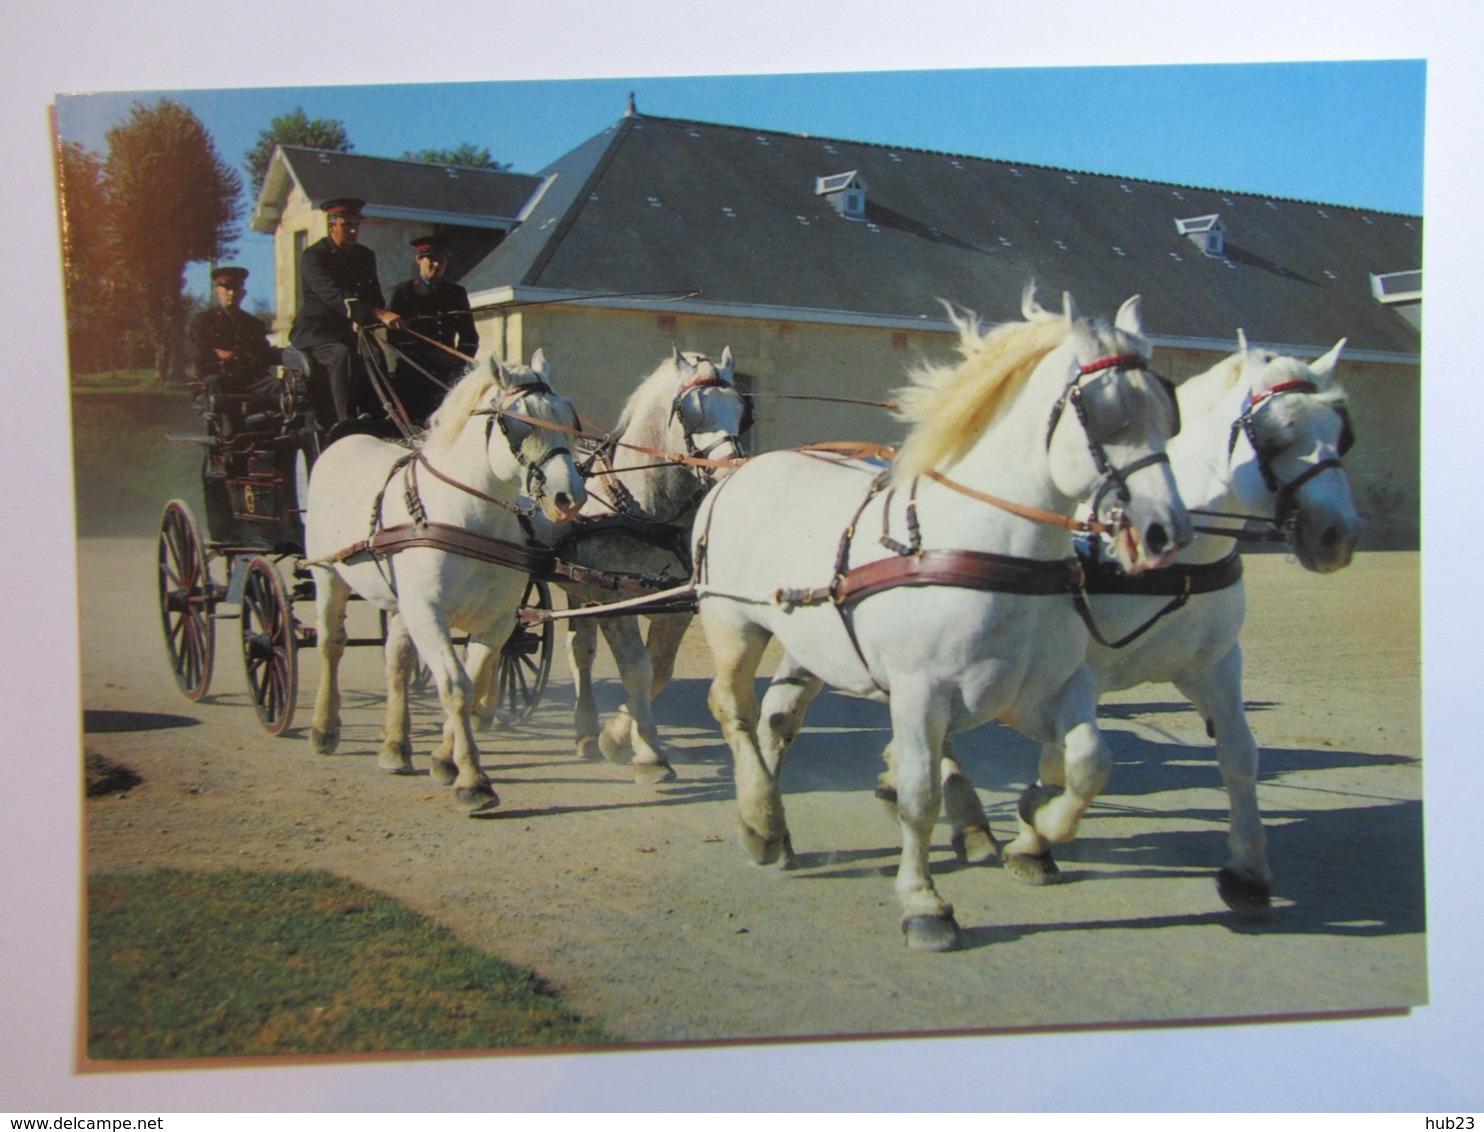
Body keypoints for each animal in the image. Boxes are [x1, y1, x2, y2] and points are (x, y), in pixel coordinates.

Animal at [305, 350, 584, 813]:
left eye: (568, 417)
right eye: (518, 422)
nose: (570, 497)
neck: (467, 518)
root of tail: (342, 442)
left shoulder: (497, 621)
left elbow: (474, 680)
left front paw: (443, 758)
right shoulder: (430, 614)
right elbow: (455, 687)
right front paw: (473, 780)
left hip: (403, 606)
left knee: (397, 662)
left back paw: (395, 746)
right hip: (328, 575)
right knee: (330, 645)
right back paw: (324, 728)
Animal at [525, 345, 753, 783]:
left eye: (741, 410)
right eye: (690, 412)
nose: (729, 477)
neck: (649, 511)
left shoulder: (674, 606)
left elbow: (659, 670)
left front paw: (615, 737)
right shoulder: (617, 602)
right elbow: (637, 669)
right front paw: (649, 754)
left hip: (581, 588)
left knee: (580, 649)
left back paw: (586, 731)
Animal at [694, 292, 1193, 949]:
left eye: (1168, 413)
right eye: (1102, 416)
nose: (1167, 532)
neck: (992, 551)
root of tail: (736, 475)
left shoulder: (1044, 689)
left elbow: (1089, 761)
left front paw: (1038, 822)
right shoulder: (921, 692)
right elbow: (919, 794)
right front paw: (924, 903)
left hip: (812, 643)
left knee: (779, 717)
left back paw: (775, 826)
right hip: (732, 625)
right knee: (734, 710)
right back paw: (758, 820)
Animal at [872, 332, 1359, 913]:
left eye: (1342, 434)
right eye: (1275, 435)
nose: (1336, 536)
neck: (1174, 567)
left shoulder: (1216, 666)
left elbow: (1240, 754)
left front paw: (1247, 870)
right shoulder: (1073, 670)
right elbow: (1069, 760)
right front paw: (1035, 839)